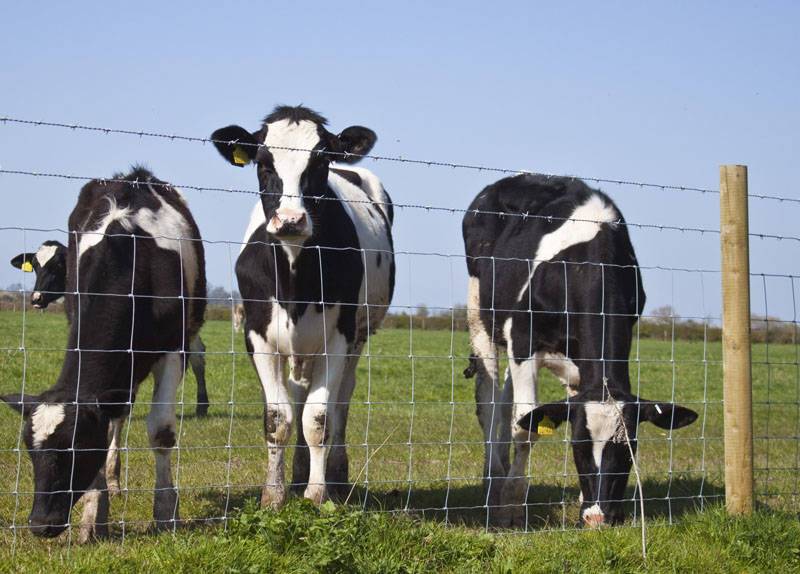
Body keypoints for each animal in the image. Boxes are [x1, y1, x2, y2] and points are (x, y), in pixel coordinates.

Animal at [0, 169, 206, 544]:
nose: (41, 523)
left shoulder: (174, 347)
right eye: (29, 450)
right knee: (118, 415)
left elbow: (161, 432)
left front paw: (166, 513)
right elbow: (108, 424)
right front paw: (94, 512)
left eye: (77, 447)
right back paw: (112, 483)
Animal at [211, 104, 396, 508]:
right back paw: (297, 472)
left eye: (321, 161)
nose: (291, 220)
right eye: (264, 163)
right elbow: (278, 417)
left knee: (341, 398)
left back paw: (335, 474)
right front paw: (274, 494)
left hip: (358, 336)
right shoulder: (258, 337)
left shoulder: (338, 337)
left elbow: (319, 417)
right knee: (297, 394)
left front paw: (316, 493)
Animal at [466, 176, 696, 532]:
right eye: (578, 446)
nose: (598, 517)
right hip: (481, 313)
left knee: (505, 401)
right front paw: (512, 509)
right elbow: (526, 426)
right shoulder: (522, 337)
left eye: (629, 450)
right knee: (490, 404)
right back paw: (494, 483)